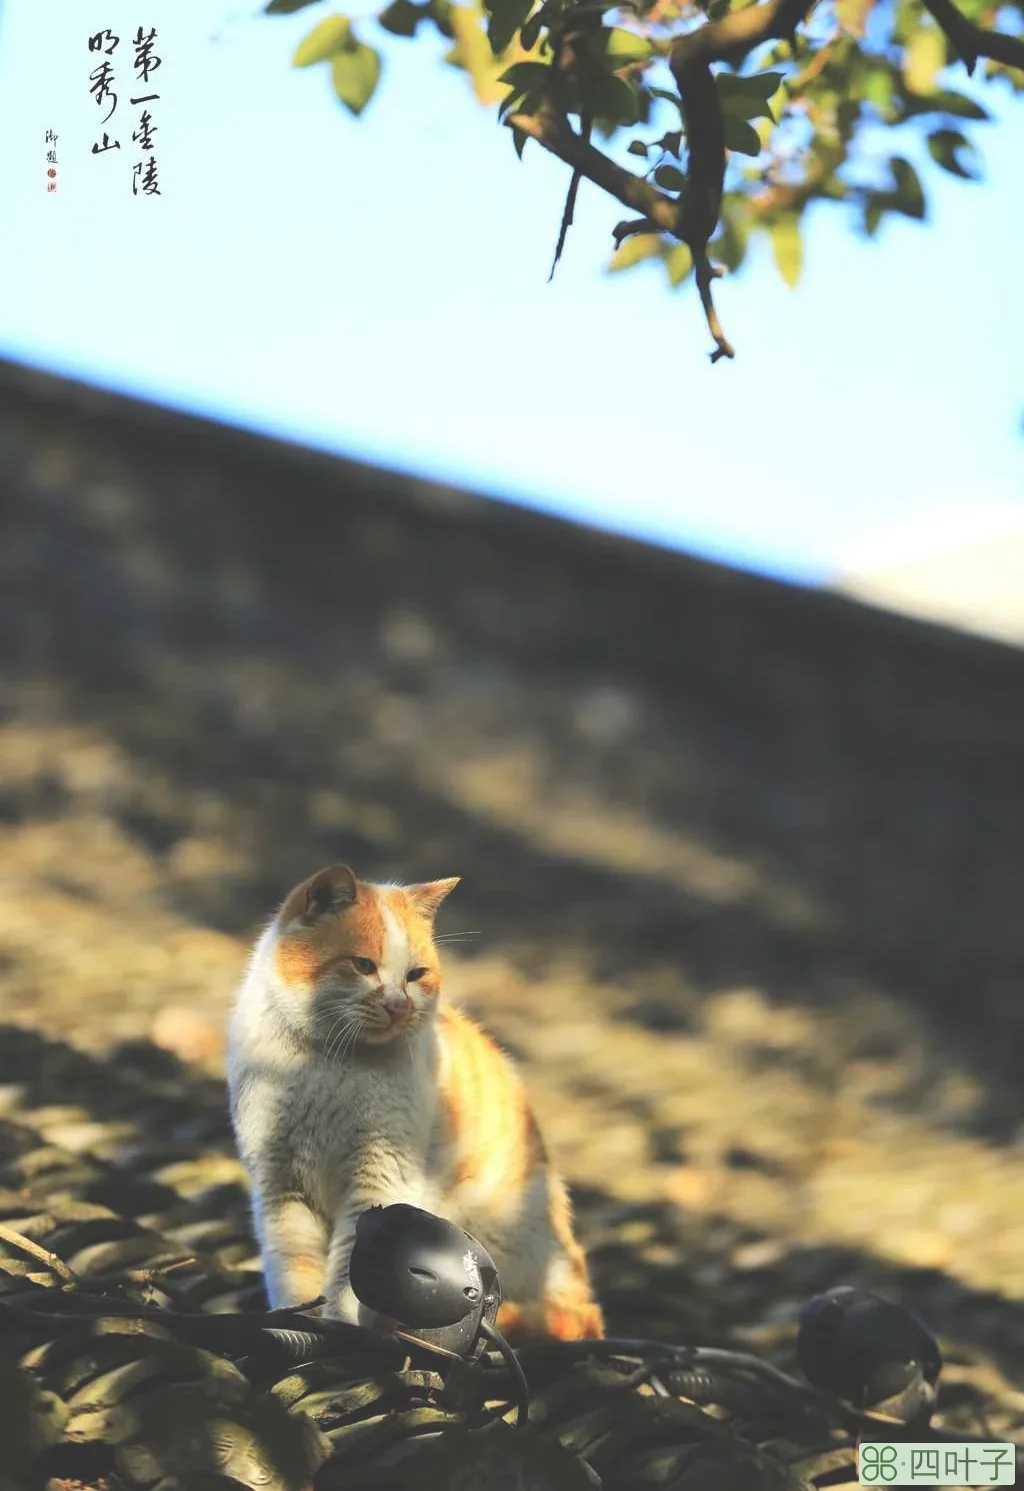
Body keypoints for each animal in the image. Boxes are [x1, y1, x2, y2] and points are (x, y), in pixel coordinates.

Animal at [228, 864, 605, 1341]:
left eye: (416, 974)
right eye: (363, 966)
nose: (397, 1006)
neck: (328, 1062)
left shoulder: (377, 1184)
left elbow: (347, 1278)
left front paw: (340, 1327)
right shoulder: (280, 1188)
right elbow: (292, 1273)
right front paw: (295, 1323)